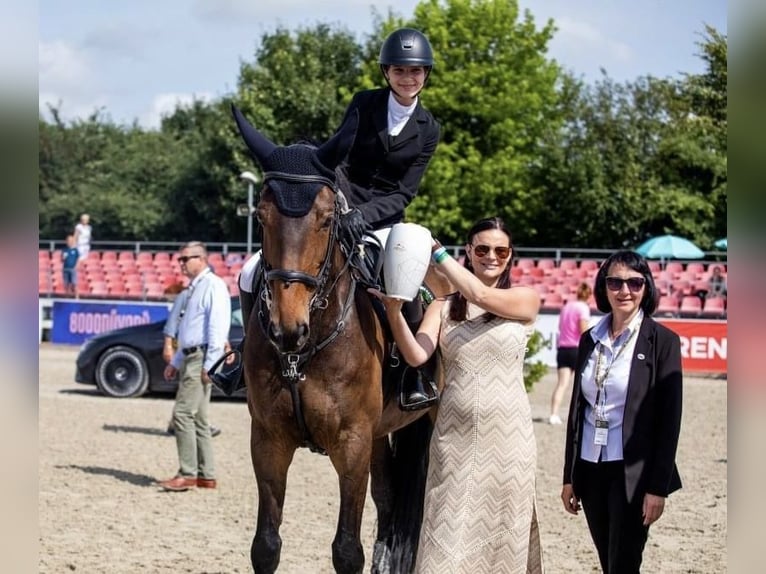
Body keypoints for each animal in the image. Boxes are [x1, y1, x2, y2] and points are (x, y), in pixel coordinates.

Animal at [231, 104, 452, 574]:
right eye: (260, 217)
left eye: (328, 219)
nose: (288, 328)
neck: (303, 353)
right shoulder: (268, 440)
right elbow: (266, 545)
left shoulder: (351, 444)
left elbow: (347, 550)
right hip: (378, 436)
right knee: (388, 500)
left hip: (425, 421)